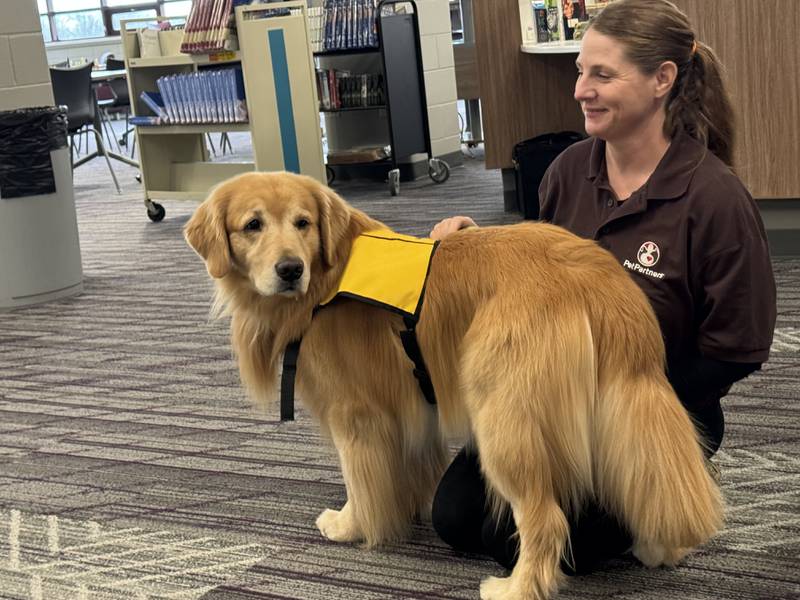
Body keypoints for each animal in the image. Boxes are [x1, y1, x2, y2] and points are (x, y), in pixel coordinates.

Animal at [186, 171, 724, 600]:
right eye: (253, 225)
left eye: (303, 223)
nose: (290, 269)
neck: (326, 281)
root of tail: (600, 280)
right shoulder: (412, 410)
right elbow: (415, 470)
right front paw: (411, 508)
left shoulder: (356, 416)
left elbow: (360, 481)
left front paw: (351, 525)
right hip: (625, 405)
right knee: (647, 473)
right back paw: (657, 546)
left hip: (503, 419)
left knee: (546, 518)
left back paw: (516, 587)